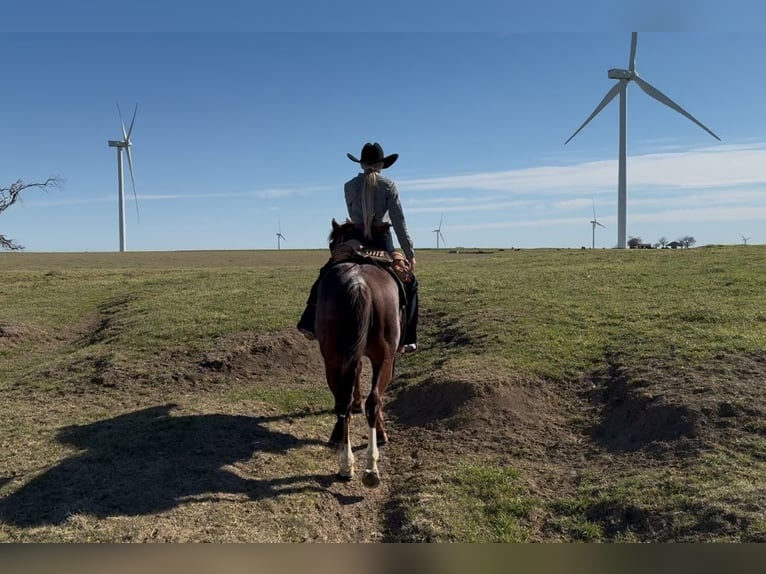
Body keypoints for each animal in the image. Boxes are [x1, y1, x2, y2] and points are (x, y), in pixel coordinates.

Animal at [316, 218, 404, 488]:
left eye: (332, 242)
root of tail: (359, 282)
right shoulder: (387, 359)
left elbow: (354, 381)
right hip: (380, 357)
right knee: (371, 401)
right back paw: (368, 467)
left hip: (333, 358)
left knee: (343, 402)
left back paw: (350, 465)